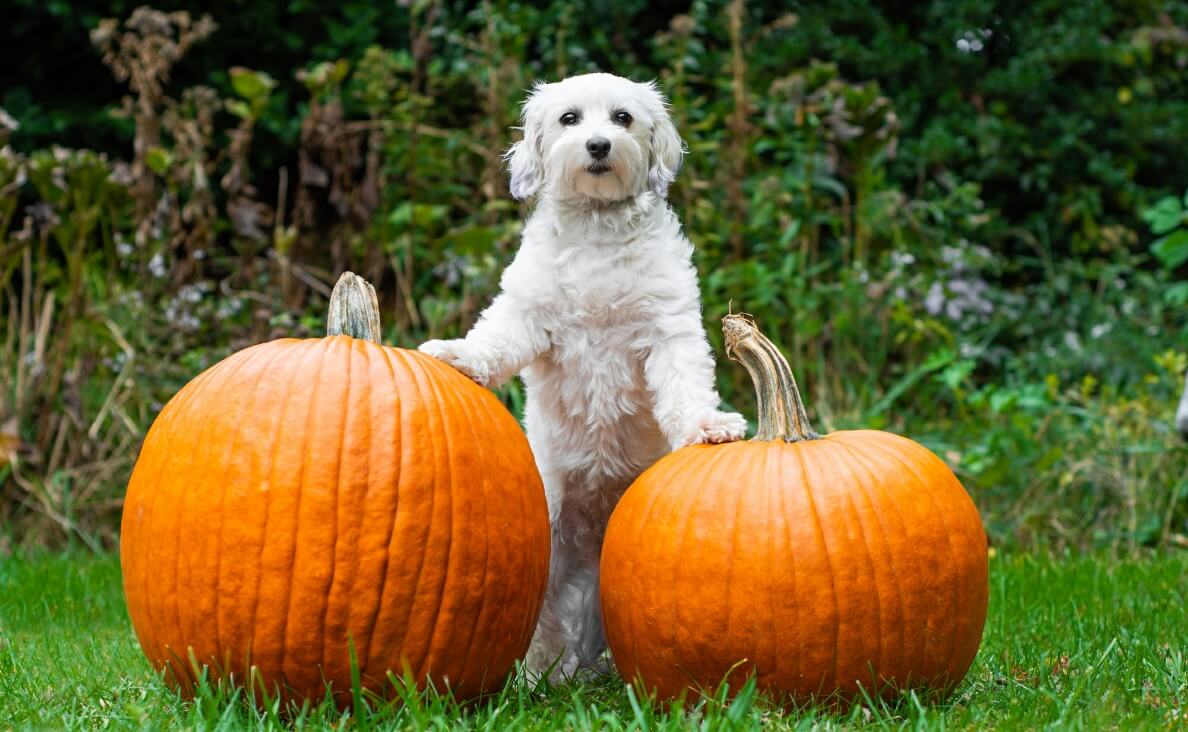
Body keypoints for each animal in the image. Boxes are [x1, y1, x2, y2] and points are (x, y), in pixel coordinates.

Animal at [422, 71, 746, 679]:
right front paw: (458, 355)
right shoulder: (527, 314)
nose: (598, 146)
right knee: (540, 626)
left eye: (622, 118)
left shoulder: (668, 330)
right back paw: (534, 680)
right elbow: (494, 339)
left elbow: (685, 384)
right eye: (569, 118)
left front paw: (708, 425)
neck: (598, 227)